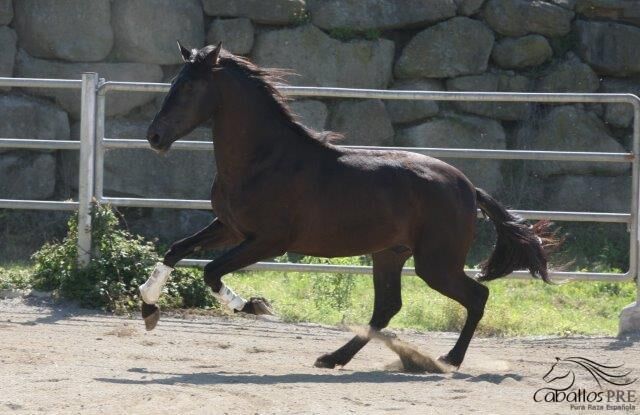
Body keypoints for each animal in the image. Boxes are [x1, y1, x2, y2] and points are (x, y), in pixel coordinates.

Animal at [141, 44, 556, 370]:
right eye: (174, 82)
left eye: (189, 86)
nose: (155, 136)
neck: (264, 159)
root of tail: (468, 188)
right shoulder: (230, 227)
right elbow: (176, 250)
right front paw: (148, 310)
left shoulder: (268, 241)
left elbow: (211, 271)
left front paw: (255, 306)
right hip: (390, 254)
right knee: (387, 307)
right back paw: (334, 358)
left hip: (435, 264)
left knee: (476, 297)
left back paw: (447, 360)